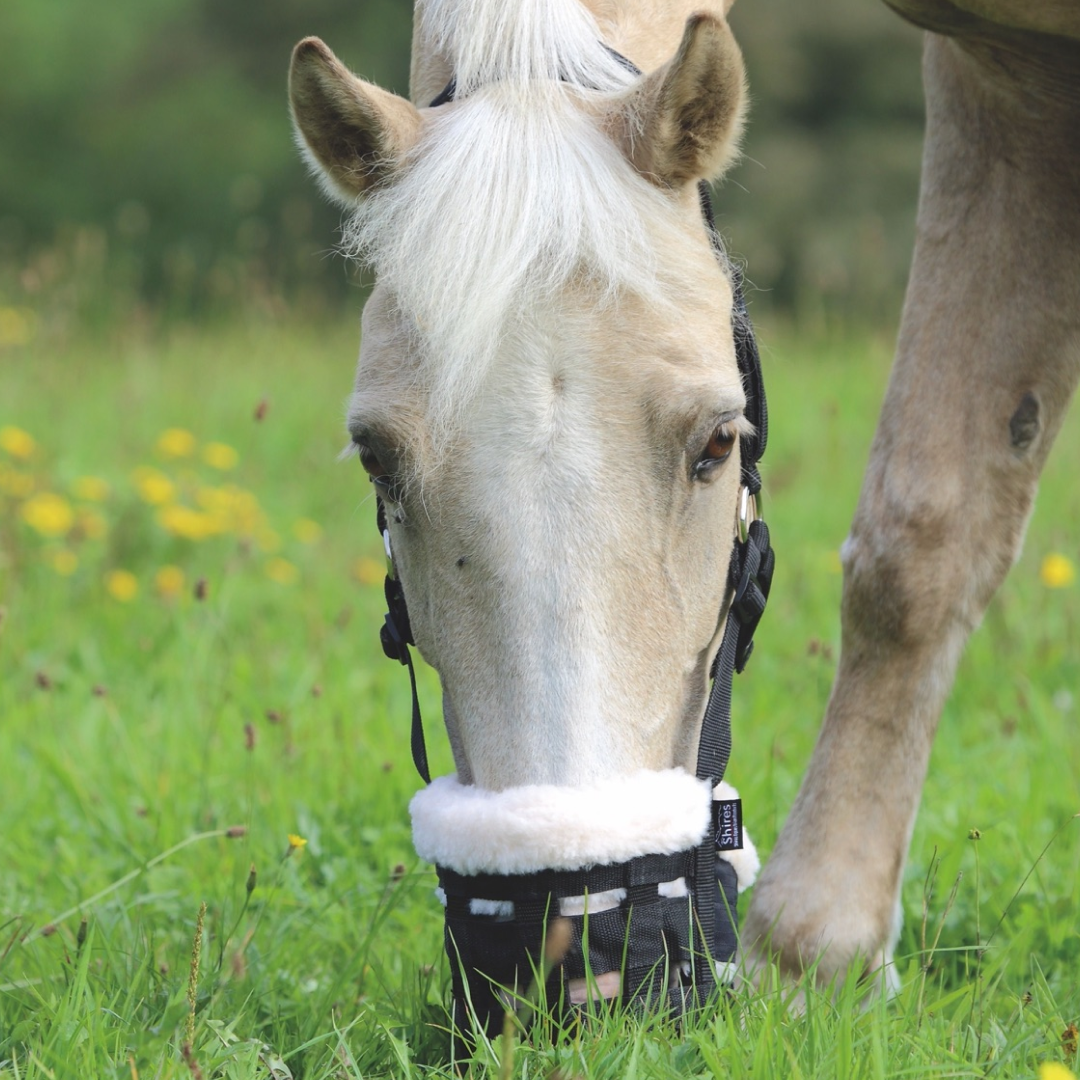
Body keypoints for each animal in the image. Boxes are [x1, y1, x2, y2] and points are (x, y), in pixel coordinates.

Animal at [287, 0, 1080, 1019]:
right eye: (377, 459)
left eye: (717, 443)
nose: (573, 957)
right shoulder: (1007, 68)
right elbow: (921, 539)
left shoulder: (1006, 81)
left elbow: (930, 539)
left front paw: (816, 952)